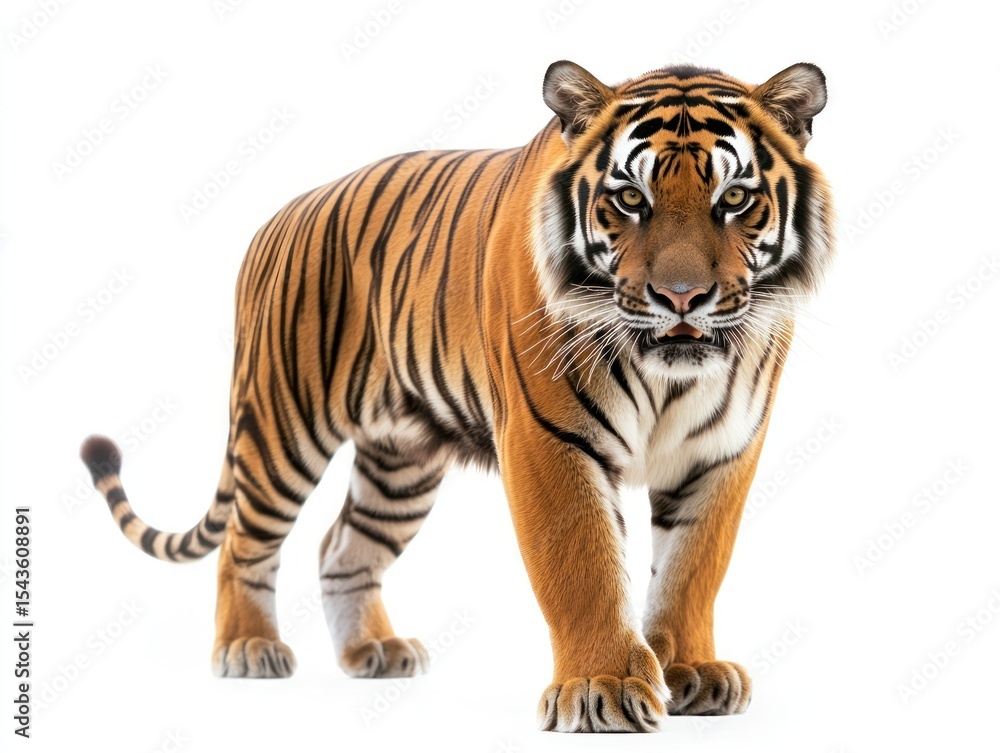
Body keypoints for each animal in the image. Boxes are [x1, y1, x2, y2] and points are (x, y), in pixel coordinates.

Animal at [81, 60, 833, 732]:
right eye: (629, 200)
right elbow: (584, 566)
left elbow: (692, 569)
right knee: (244, 540)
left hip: (401, 463)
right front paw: (602, 688)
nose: (681, 298)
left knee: (343, 547)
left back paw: (373, 650)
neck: (670, 374)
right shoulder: (550, 439)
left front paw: (690, 670)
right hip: (281, 425)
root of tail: (277, 218)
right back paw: (247, 646)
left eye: (733, 199)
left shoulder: (723, 451)